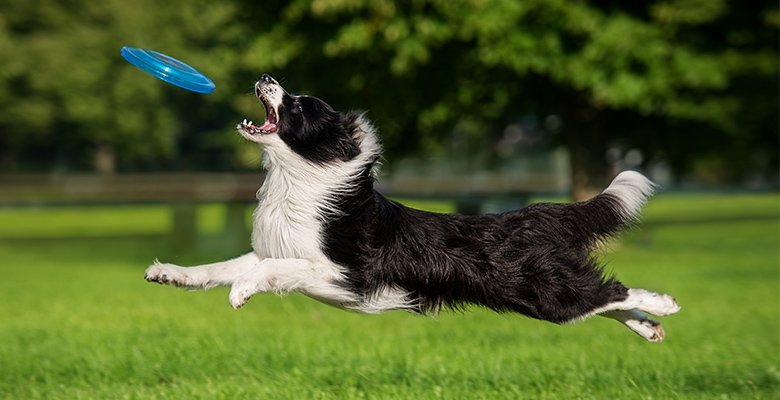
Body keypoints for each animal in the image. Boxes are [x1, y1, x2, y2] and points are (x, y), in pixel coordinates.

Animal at [143, 74, 680, 340]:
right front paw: (169, 274)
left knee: (611, 290)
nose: (264, 75)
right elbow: (221, 267)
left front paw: (242, 294)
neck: (299, 180)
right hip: (539, 296)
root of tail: (526, 216)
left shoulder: (345, 272)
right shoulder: (272, 248)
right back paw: (649, 327)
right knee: (600, 302)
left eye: (297, 105)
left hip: (537, 288)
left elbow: (271, 270)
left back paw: (665, 304)